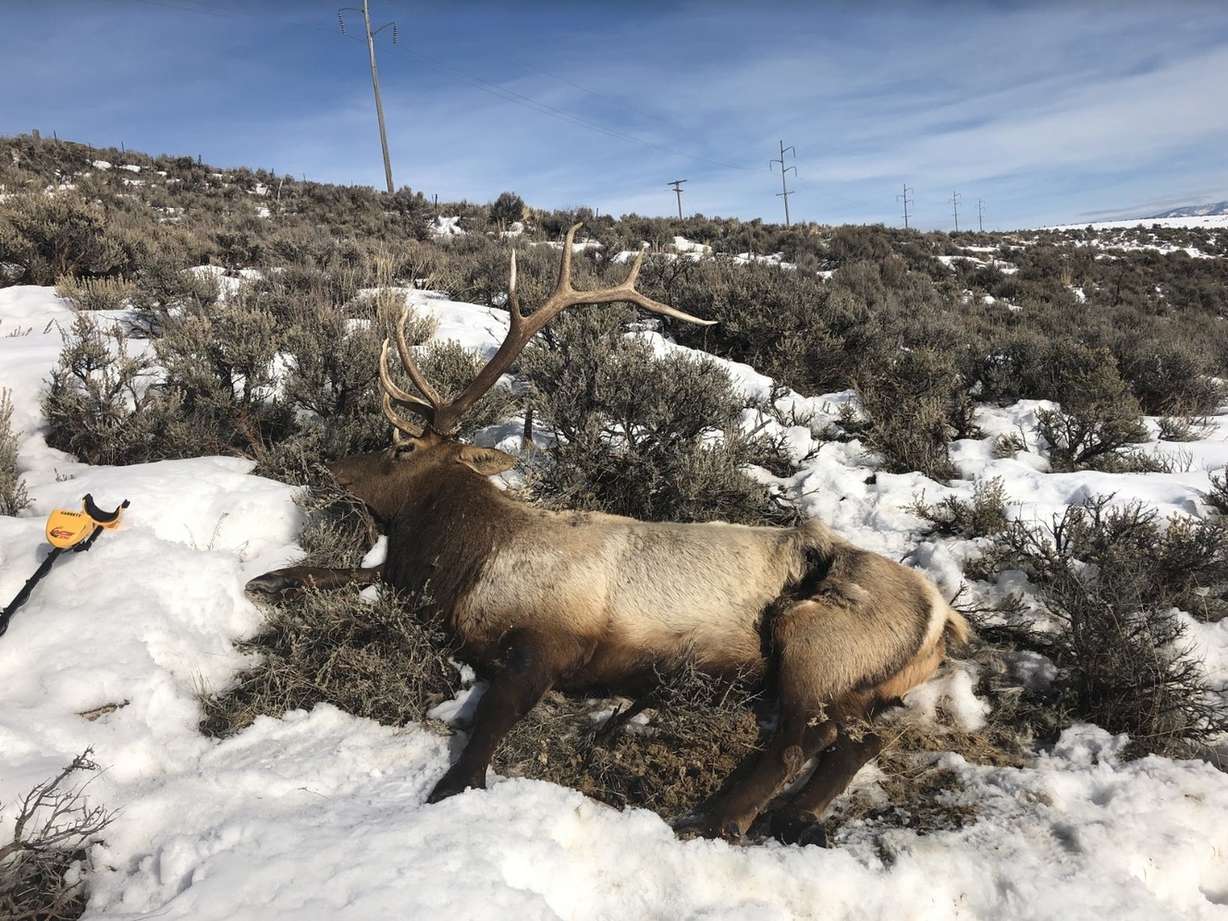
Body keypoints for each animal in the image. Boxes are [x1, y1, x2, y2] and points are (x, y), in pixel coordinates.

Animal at [246, 225, 971, 846]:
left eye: (400, 447)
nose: (332, 467)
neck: (467, 561)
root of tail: (945, 619)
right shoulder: (412, 581)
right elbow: (343, 571)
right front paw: (266, 578)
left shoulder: (549, 641)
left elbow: (484, 735)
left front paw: (450, 790)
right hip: (859, 682)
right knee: (857, 740)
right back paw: (794, 815)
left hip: (815, 638)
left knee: (802, 739)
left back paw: (719, 818)